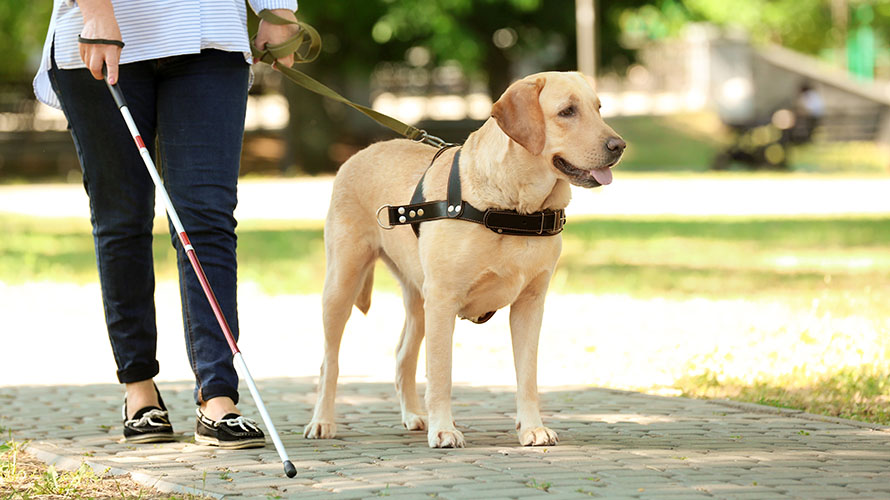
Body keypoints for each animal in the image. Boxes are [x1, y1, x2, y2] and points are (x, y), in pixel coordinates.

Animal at [306, 69, 624, 446]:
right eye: (567, 112)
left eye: (598, 108)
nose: (618, 146)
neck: (514, 208)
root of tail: (361, 152)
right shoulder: (443, 300)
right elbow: (442, 373)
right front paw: (444, 428)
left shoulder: (530, 304)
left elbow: (527, 375)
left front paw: (532, 427)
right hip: (343, 283)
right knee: (329, 361)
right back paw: (322, 421)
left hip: (418, 299)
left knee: (402, 356)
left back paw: (413, 415)